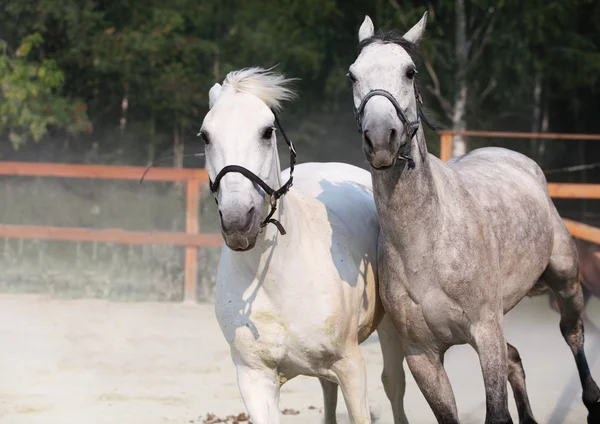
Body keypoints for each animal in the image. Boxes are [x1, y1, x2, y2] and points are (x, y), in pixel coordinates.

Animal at [202, 68, 408, 422]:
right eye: (206, 136)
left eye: (266, 132)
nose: (238, 222)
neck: (275, 279)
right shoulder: (255, 379)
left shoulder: (351, 367)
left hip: (388, 331)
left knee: (394, 387)